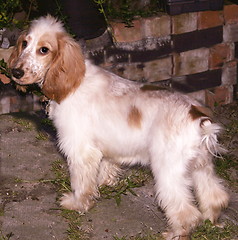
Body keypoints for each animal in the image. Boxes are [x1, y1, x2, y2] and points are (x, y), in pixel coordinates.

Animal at [8, 15, 229, 239]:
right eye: (24, 43)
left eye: (44, 49)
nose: (15, 72)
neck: (73, 83)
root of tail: (198, 118)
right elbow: (105, 168)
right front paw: (104, 184)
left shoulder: (80, 150)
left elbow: (81, 183)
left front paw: (77, 203)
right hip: (201, 167)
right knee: (215, 196)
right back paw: (212, 222)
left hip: (169, 172)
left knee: (186, 212)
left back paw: (175, 233)